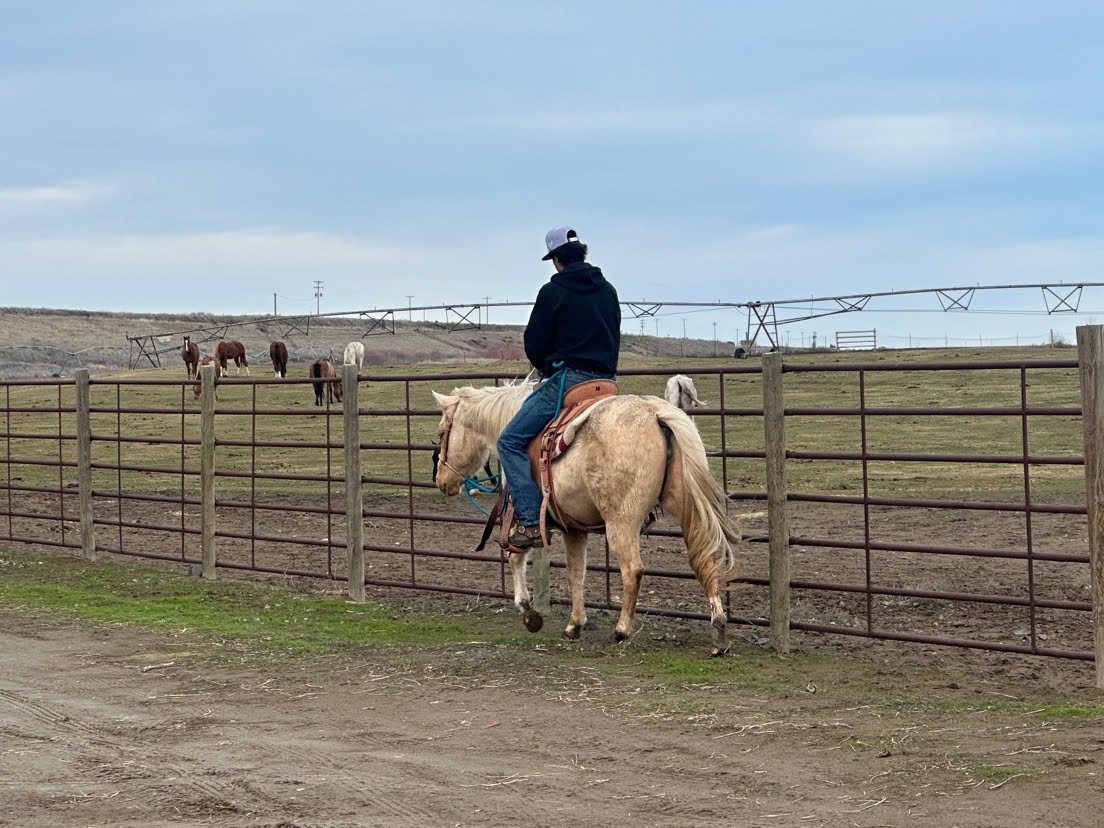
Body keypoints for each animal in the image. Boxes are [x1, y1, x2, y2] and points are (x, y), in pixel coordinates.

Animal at [432, 382, 744, 657]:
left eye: (442, 431)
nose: (441, 481)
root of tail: (655, 413)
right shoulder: (573, 528)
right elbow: (576, 571)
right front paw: (574, 624)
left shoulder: (519, 514)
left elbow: (516, 557)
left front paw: (528, 611)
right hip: (687, 506)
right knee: (705, 559)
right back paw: (719, 632)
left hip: (621, 521)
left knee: (633, 569)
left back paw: (621, 630)